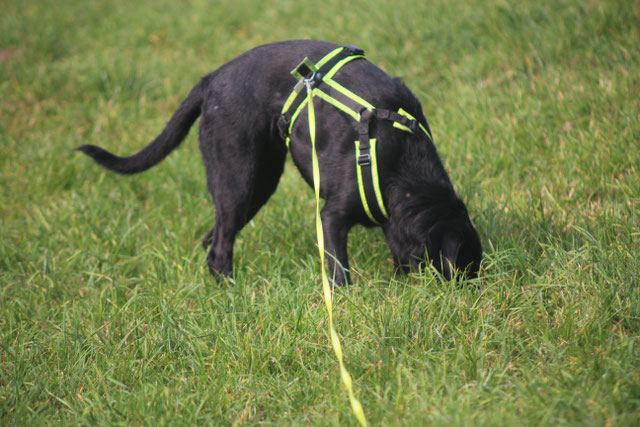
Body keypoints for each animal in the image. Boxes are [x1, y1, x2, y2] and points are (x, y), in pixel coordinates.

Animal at [76, 40, 482, 285]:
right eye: (460, 269)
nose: (471, 290)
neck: (402, 167)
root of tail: (210, 81)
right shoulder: (331, 217)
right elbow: (339, 270)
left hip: (257, 183)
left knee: (213, 236)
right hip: (240, 178)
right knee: (220, 246)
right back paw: (230, 290)